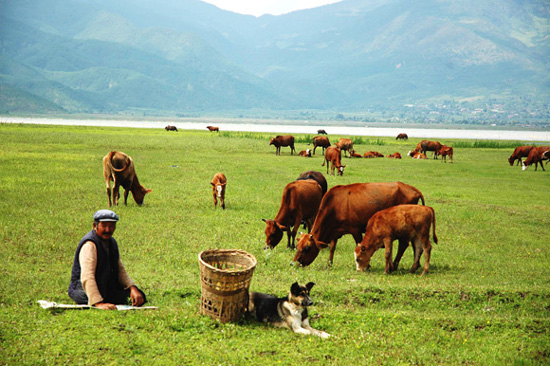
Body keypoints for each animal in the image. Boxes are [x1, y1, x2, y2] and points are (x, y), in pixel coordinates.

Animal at [294, 182, 426, 266]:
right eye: (297, 246)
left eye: (307, 248)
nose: (293, 263)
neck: (336, 204)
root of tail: (412, 188)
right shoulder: (335, 232)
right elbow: (332, 248)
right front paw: (329, 264)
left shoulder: (355, 230)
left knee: (404, 245)